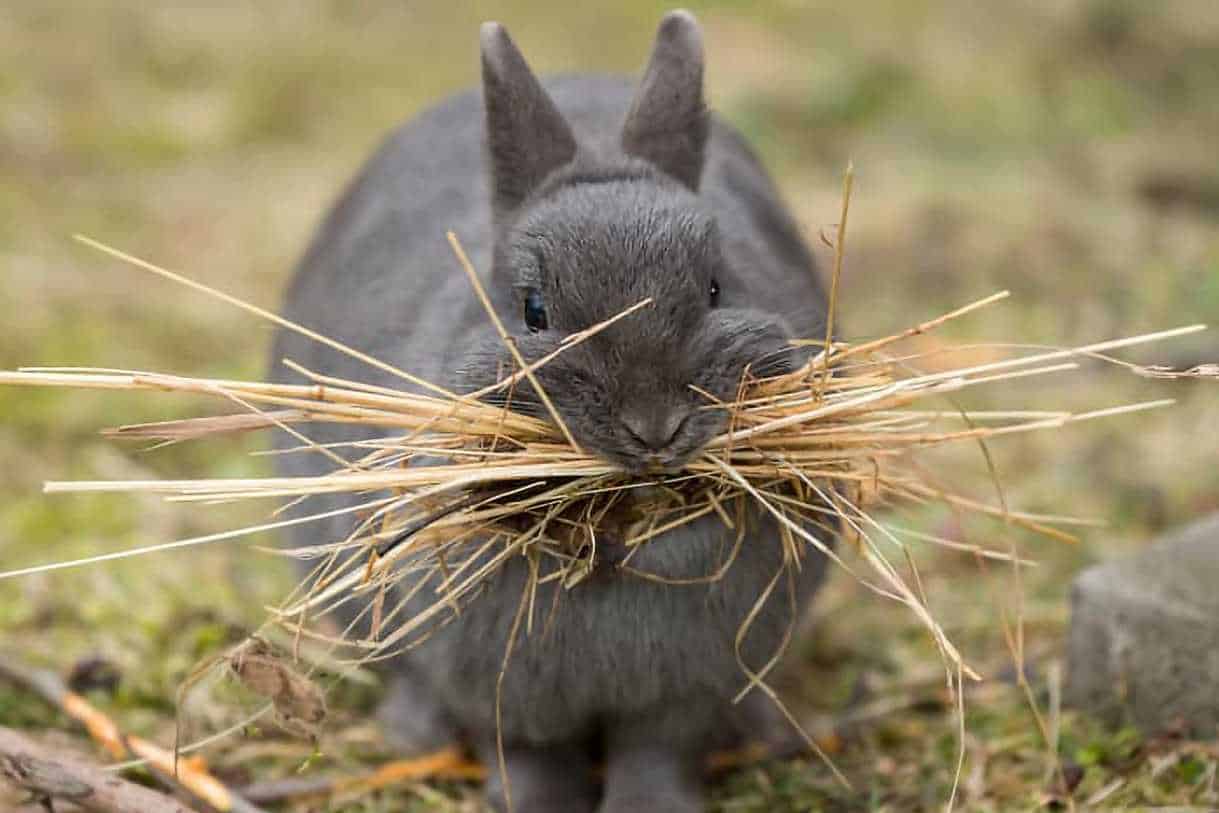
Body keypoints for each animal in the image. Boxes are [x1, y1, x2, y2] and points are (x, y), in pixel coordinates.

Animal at [270, 7, 833, 813]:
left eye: (717, 287)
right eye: (533, 309)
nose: (654, 428)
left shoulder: (681, 691)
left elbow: (656, 748)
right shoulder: (498, 684)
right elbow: (529, 755)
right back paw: (412, 733)